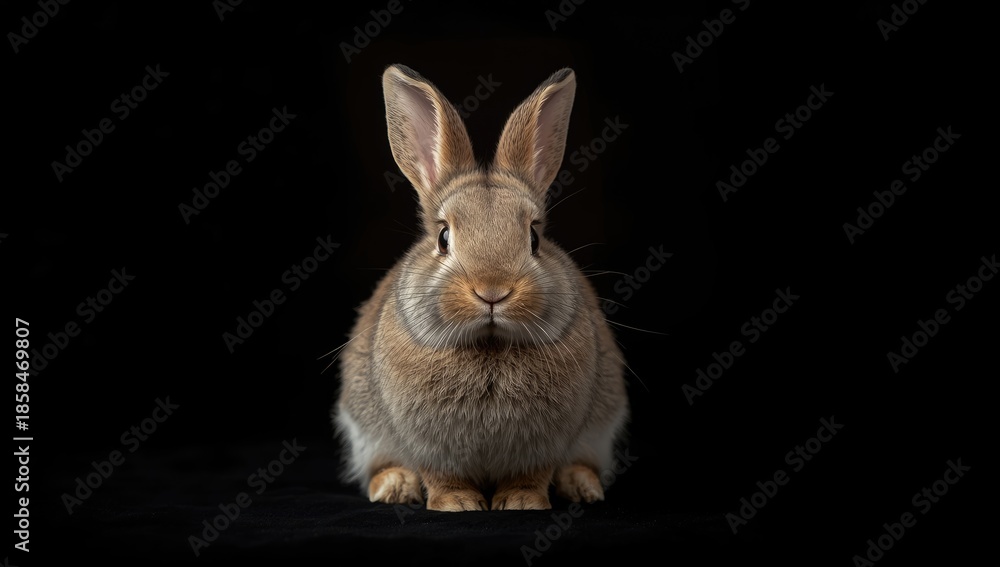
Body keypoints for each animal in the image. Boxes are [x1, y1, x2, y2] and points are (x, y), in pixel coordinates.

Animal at [332, 64, 629, 511]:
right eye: (443, 238)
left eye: (534, 238)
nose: (493, 291)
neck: (489, 343)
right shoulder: (429, 446)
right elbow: (442, 475)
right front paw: (457, 504)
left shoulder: (545, 444)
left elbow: (532, 474)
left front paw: (522, 502)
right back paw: (395, 488)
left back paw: (581, 486)